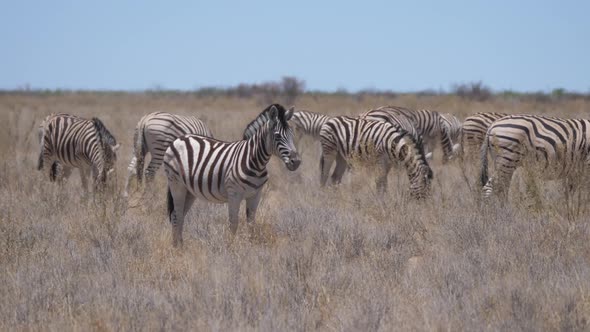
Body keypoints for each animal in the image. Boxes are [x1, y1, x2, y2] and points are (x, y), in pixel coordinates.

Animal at [164, 104, 300, 246]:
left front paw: (251, 246)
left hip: (189, 191)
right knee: (176, 215)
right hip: (176, 184)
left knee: (180, 215)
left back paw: (180, 245)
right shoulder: (234, 194)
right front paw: (231, 247)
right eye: (277, 136)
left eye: (292, 134)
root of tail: (179, 138)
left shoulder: (255, 195)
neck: (254, 161)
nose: (296, 162)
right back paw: (177, 247)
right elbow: (233, 223)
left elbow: (251, 223)